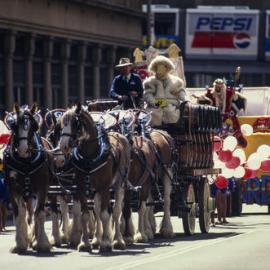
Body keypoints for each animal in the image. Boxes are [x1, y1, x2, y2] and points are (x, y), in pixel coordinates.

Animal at [59, 104, 131, 252]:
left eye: (75, 123)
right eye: (62, 123)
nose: (63, 145)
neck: (90, 155)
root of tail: (120, 135)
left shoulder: (104, 187)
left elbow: (105, 214)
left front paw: (106, 243)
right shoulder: (81, 188)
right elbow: (85, 215)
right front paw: (85, 243)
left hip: (119, 185)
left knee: (116, 211)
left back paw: (118, 240)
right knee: (97, 210)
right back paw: (97, 240)